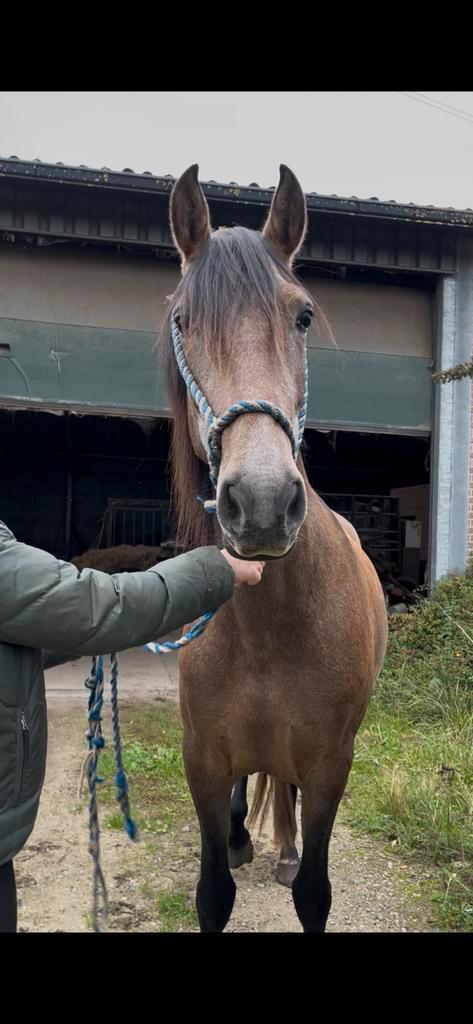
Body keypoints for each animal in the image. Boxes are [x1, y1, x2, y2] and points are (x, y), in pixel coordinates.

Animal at [161, 163, 388, 932]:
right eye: (182, 319)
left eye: (303, 315)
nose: (260, 504)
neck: (266, 627)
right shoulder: (201, 760)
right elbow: (211, 891)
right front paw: (230, 848)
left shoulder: (328, 764)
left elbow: (313, 891)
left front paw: (294, 857)